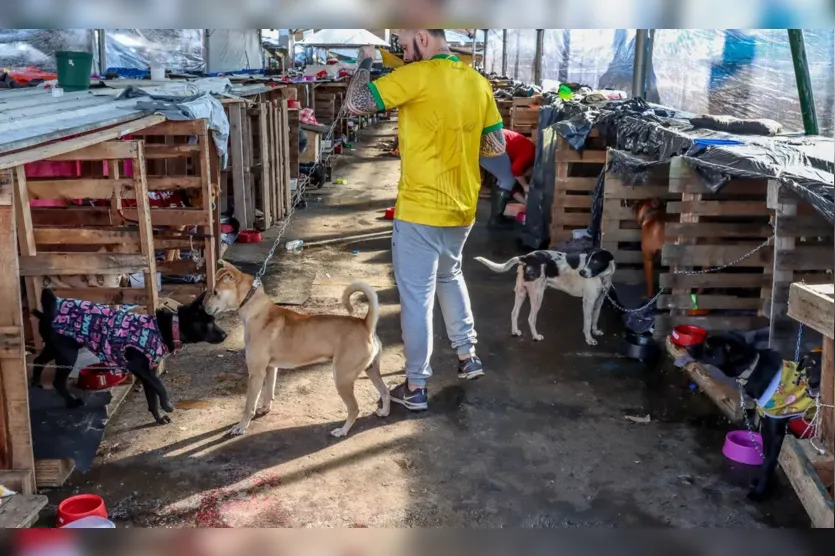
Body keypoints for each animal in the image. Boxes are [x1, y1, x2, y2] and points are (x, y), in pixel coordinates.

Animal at [31, 286, 227, 426]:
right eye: (208, 323)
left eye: (214, 320)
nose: (225, 335)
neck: (168, 328)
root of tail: (48, 310)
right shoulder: (139, 366)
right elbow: (160, 386)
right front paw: (167, 405)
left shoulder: (149, 372)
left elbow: (152, 396)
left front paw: (158, 418)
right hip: (67, 353)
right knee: (57, 381)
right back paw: (72, 402)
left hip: (54, 347)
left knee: (37, 360)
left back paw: (35, 383)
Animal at [204, 262, 390, 438]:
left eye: (215, 292)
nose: (204, 308)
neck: (257, 311)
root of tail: (365, 324)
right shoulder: (271, 368)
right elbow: (269, 391)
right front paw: (265, 409)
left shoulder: (256, 372)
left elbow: (249, 404)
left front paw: (241, 427)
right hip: (371, 369)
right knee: (385, 391)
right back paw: (384, 412)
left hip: (342, 377)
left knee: (354, 408)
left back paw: (342, 431)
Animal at [476, 250, 612, 346]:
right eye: (588, 261)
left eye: (595, 261)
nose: (582, 273)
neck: (602, 277)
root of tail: (526, 257)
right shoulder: (588, 301)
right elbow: (588, 322)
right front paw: (589, 339)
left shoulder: (599, 301)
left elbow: (595, 318)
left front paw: (595, 331)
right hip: (537, 296)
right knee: (531, 318)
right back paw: (536, 336)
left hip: (521, 293)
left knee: (514, 313)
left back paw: (515, 332)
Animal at [692, 332, 824, 502]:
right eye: (809, 366)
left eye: (709, 344)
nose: (688, 347)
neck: (753, 369)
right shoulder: (766, 427)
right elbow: (767, 457)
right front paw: (761, 481)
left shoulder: (776, 432)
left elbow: (769, 462)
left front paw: (760, 492)